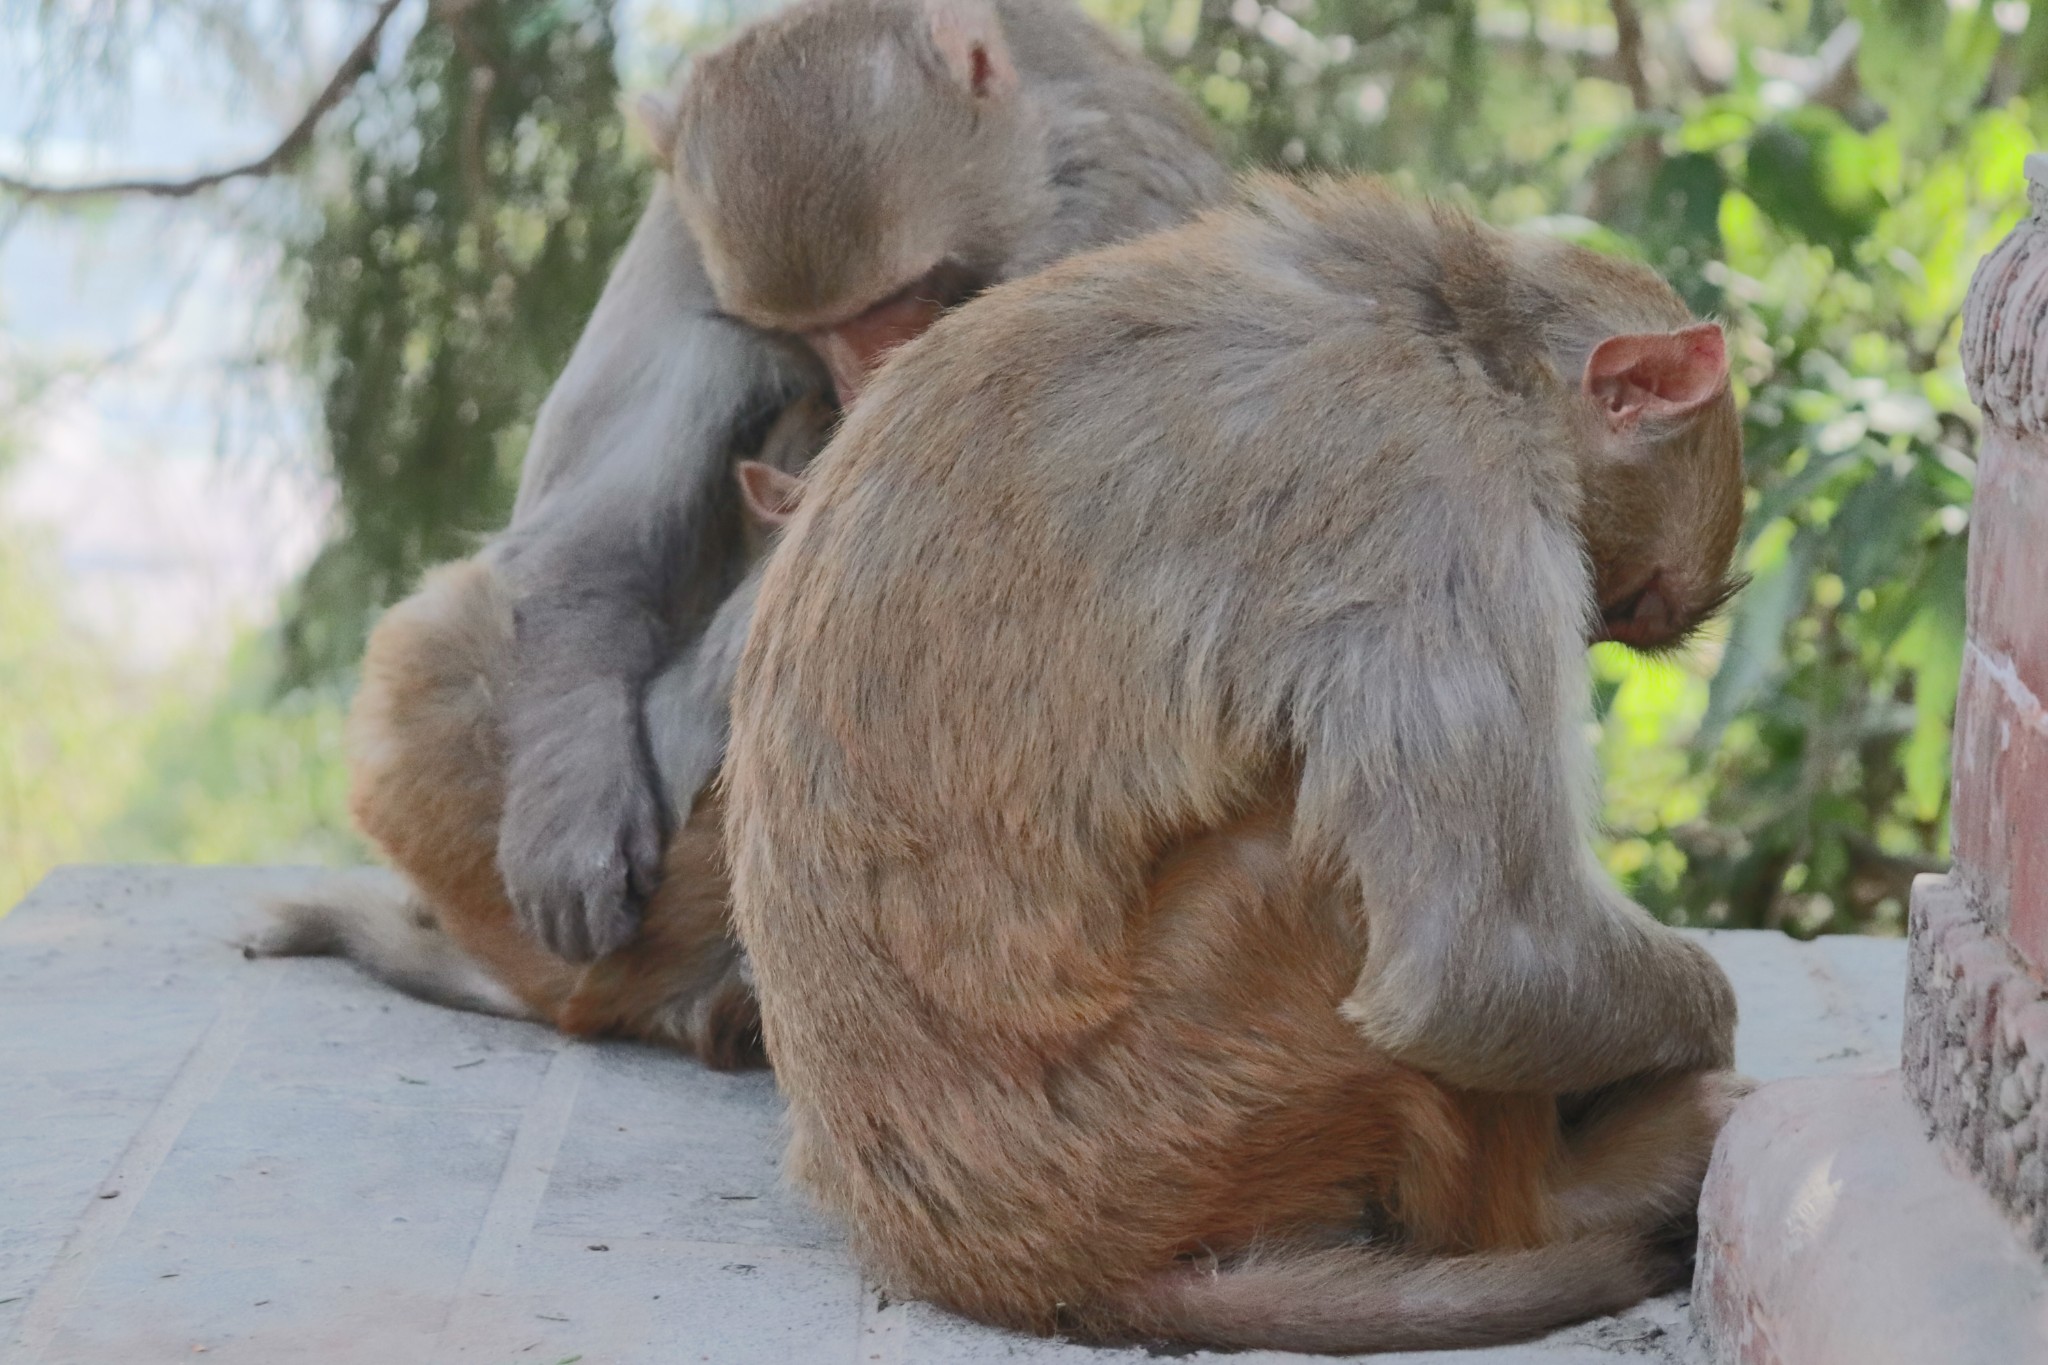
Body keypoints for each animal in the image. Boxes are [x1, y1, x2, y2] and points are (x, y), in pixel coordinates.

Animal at [247, 0, 1220, 1055]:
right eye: (809, 327)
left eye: (905, 296)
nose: (863, 377)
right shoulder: (680, 228)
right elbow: (593, 536)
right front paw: (569, 808)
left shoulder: (1113, 212)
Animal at [720, 173, 1744, 1358]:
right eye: (1628, 606)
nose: (1589, 634)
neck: (1455, 329)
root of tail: (989, 1264)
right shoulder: (1442, 498)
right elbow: (1482, 959)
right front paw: (1704, 1028)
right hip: (1174, 1111)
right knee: (1315, 870)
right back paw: (1572, 1201)